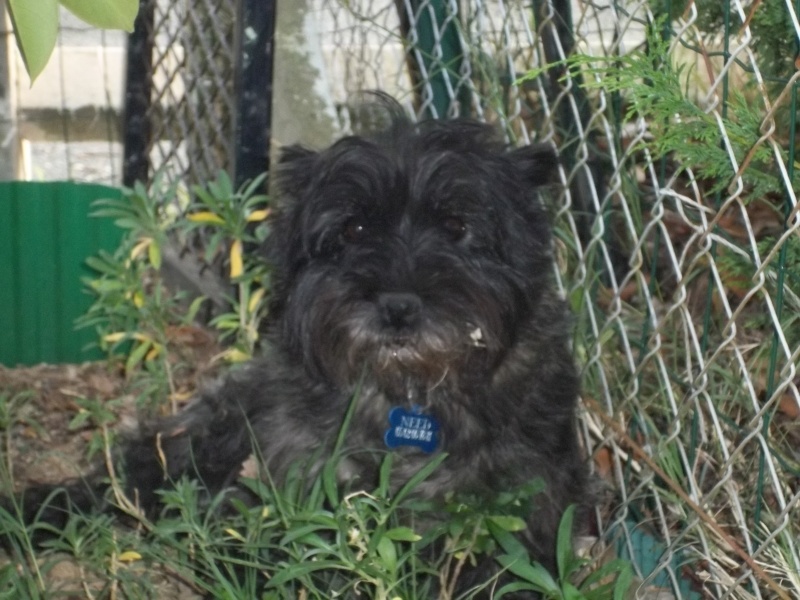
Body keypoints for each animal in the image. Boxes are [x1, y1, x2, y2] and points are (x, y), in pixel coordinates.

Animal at [3, 115, 584, 592]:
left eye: (458, 227)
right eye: (353, 227)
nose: (397, 307)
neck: (407, 396)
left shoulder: (518, 515)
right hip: (212, 433)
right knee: (132, 470)